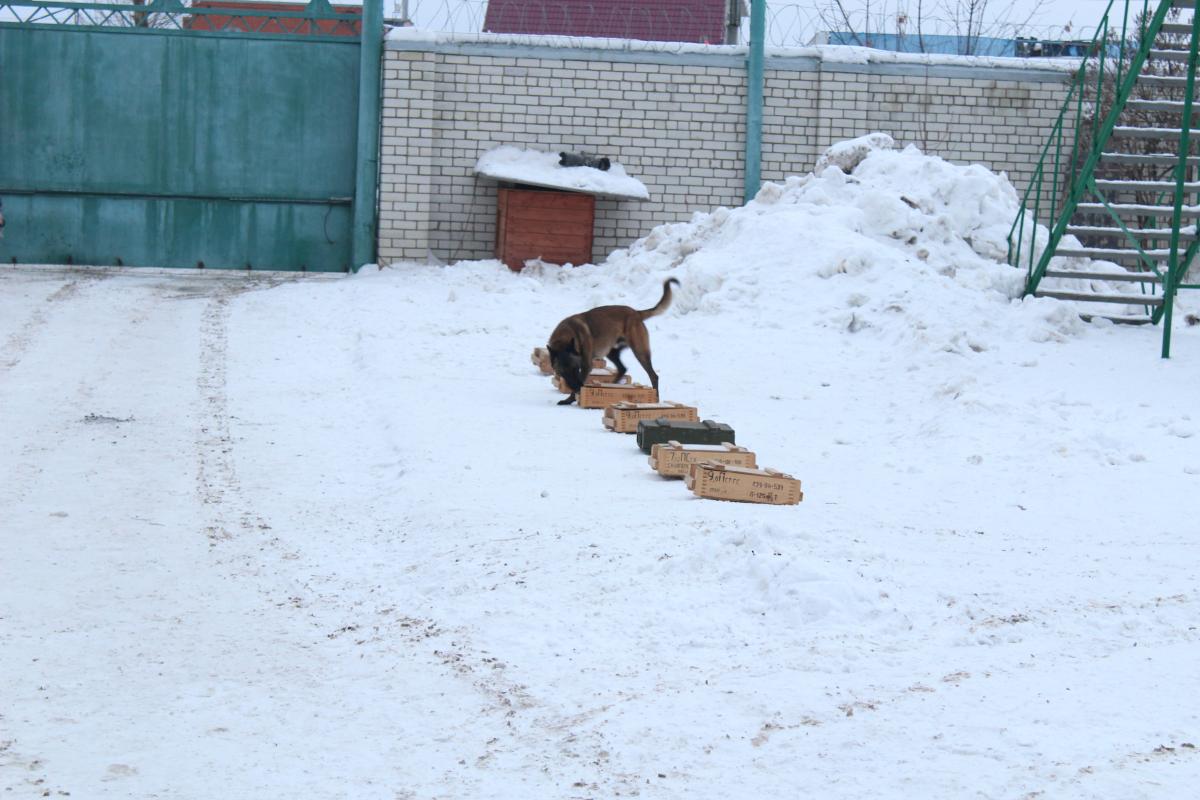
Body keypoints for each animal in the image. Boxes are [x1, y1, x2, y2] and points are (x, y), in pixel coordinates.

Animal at [544, 280, 676, 407]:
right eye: (563, 372)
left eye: (575, 368)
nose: (577, 386)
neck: (565, 336)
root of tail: (636, 313)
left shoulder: (586, 365)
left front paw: (570, 399)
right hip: (612, 352)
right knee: (622, 369)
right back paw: (612, 385)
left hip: (639, 351)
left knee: (653, 376)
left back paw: (656, 398)